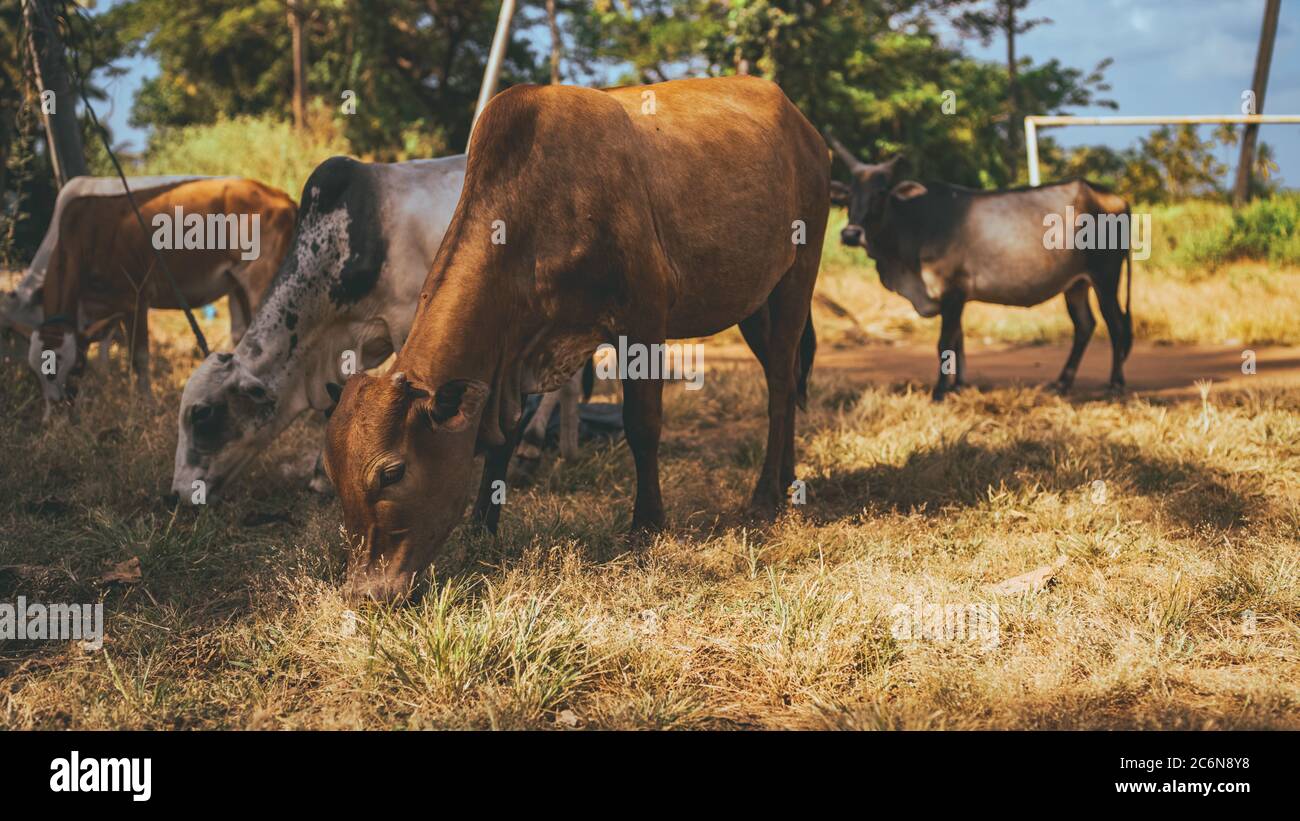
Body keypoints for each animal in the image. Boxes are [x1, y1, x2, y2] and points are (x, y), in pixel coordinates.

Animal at [27, 178, 297, 418]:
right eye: (36, 375)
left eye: (74, 368)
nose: (55, 416)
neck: (85, 239)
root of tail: (279, 195)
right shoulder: (98, 308)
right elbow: (104, 349)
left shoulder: (134, 298)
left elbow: (138, 357)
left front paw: (146, 405)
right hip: (238, 282)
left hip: (262, 276)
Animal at [170, 156, 586, 503]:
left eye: (203, 415)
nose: (175, 495)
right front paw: (322, 476)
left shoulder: (408, 327)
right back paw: (563, 450)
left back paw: (531, 447)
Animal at [323, 75, 828, 601]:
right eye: (333, 476)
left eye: (393, 471)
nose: (363, 592)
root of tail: (805, 128)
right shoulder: (515, 351)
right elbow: (505, 435)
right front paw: (483, 525)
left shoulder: (644, 317)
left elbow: (641, 425)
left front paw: (647, 526)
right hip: (756, 303)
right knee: (784, 376)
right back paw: (788, 480)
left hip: (798, 275)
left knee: (780, 388)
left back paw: (765, 495)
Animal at [827, 136, 1133, 400]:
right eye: (849, 195)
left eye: (880, 193)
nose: (851, 234)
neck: (913, 224)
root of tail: (1115, 198)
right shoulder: (956, 297)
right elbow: (958, 342)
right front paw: (958, 386)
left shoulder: (952, 291)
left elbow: (944, 343)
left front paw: (940, 391)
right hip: (1076, 284)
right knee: (1085, 325)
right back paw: (1062, 383)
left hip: (1106, 277)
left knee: (1116, 325)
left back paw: (1115, 385)